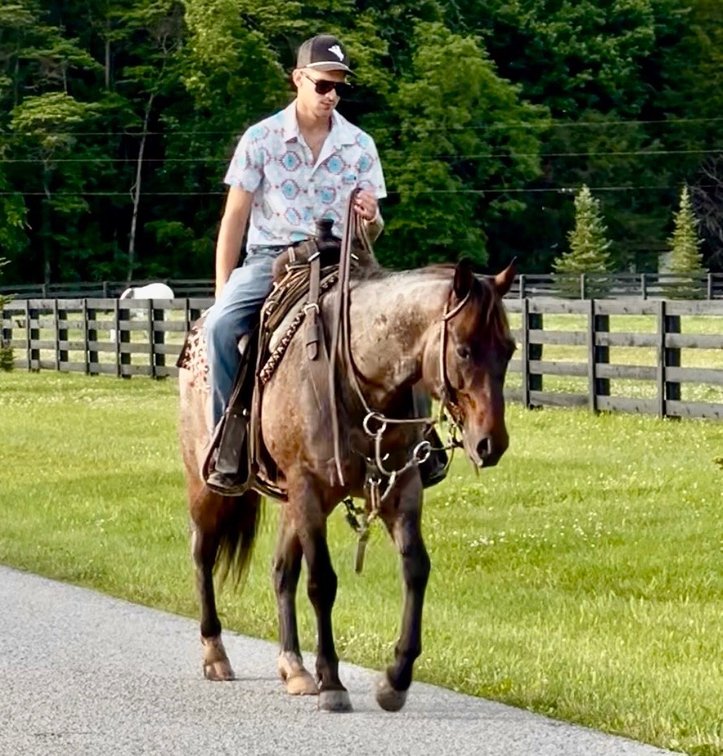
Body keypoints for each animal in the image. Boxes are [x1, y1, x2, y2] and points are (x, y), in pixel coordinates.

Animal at [178, 258, 516, 712]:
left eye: (509, 349)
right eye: (463, 349)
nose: (491, 443)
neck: (360, 373)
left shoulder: (400, 489)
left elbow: (416, 569)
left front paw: (395, 678)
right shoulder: (308, 488)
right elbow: (322, 582)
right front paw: (333, 682)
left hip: (290, 503)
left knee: (281, 571)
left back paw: (293, 667)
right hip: (209, 488)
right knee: (202, 555)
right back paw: (215, 652)